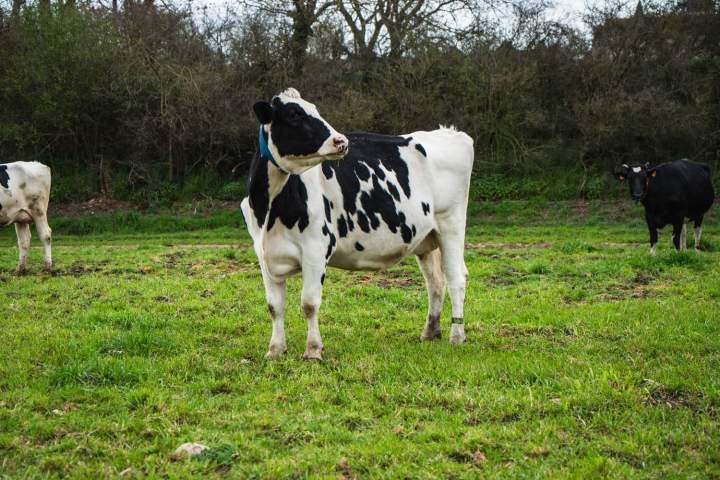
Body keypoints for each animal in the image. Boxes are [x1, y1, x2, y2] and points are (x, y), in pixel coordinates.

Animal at [240, 88, 474, 360]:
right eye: (294, 115)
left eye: (314, 109)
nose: (340, 141)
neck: (269, 211)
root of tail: (449, 132)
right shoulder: (264, 253)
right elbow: (274, 306)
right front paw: (275, 350)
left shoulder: (316, 249)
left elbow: (309, 303)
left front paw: (313, 351)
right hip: (427, 237)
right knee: (435, 282)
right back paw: (430, 332)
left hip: (451, 224)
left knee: (456, 277)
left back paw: (457, 336)